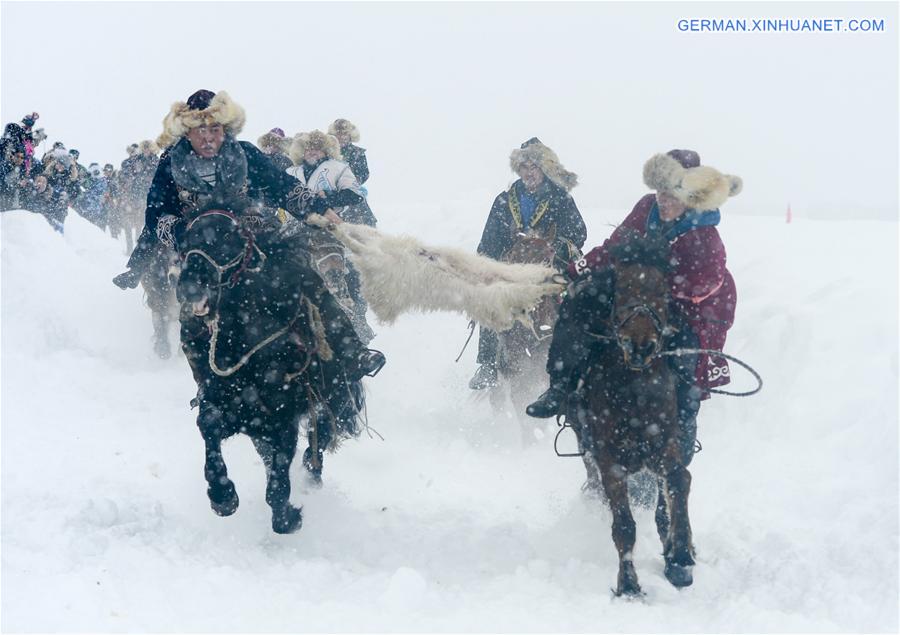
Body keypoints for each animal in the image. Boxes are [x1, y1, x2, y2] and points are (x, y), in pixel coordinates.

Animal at [176, 211, 362, 536]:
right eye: (185, 242)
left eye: (225, 238)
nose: (189, 287)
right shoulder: (229, 408)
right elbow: (208, 426)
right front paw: (223, 497)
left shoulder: (282, 419)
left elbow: (279, 474)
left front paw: (289, 517)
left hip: (331, 398)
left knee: (320, 436)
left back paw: (312, 474)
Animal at [568, 234, 696, 596]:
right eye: (622, 288)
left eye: (663, 291)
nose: (640, 345)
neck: (635, 390)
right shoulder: (609, 457)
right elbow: (624, 524)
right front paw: (628, 584)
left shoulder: (666, 442)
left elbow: (679, 480)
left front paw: (681, 555)